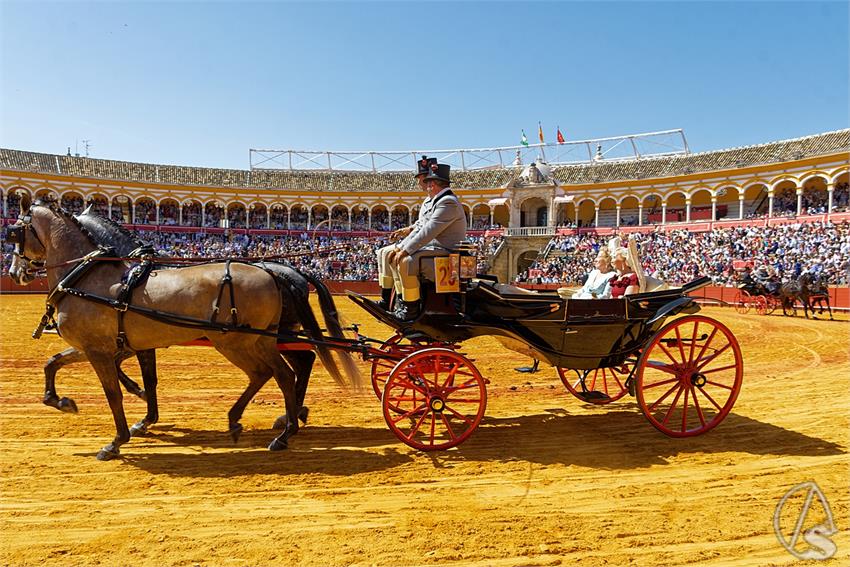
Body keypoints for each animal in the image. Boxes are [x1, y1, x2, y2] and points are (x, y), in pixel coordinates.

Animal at [10, 197, 362, 460]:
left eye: (15, 231)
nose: (15, 273)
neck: (94, 278)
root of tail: (278, 273)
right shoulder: (113, 346)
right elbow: (54, 363)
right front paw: (64, 402)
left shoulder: (100, 350)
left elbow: (114, 393)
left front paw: (118, 439)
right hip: (258, 340)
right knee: (287, 369)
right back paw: (273, 421)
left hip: (243, 342)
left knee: (281, 372)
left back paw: (282, 429)